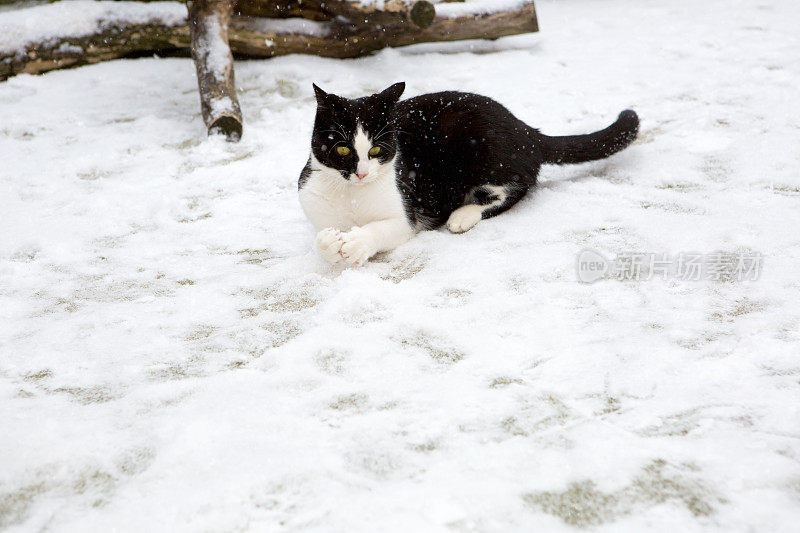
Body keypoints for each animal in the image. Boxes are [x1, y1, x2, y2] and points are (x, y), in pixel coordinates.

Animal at [298, 82, 636, 264]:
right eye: (343, 150)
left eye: (376, 150)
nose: (362, 174)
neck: (352, 195)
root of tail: (526, 129)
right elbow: (319, 240)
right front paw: (329, 243)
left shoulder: (406, 216)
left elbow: (381, 229)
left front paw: (357, 243)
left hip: (487, 153)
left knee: (518, 188)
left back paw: (464, 214)